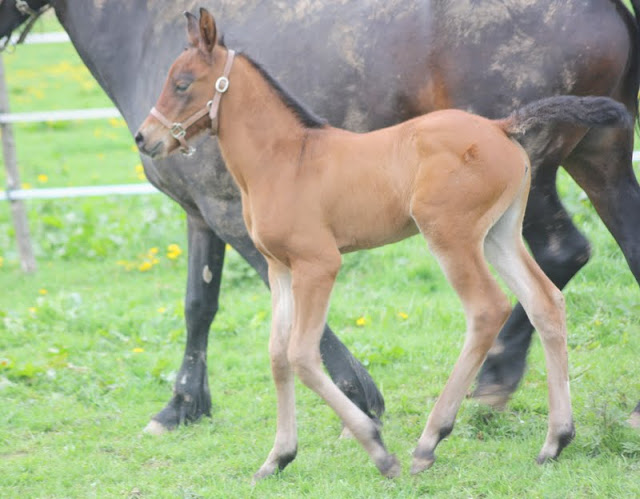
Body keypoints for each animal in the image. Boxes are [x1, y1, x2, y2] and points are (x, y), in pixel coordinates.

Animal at [1, 0, 640, 430]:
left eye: (182, 82)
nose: (146, 138)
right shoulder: (200, 214)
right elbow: (199, 304)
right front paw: (181, 406)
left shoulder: (235, 217)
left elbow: (282, 307)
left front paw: (359, 394)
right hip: (601, 159)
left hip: (531, 185)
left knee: (558, 255)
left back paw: (493, 380)